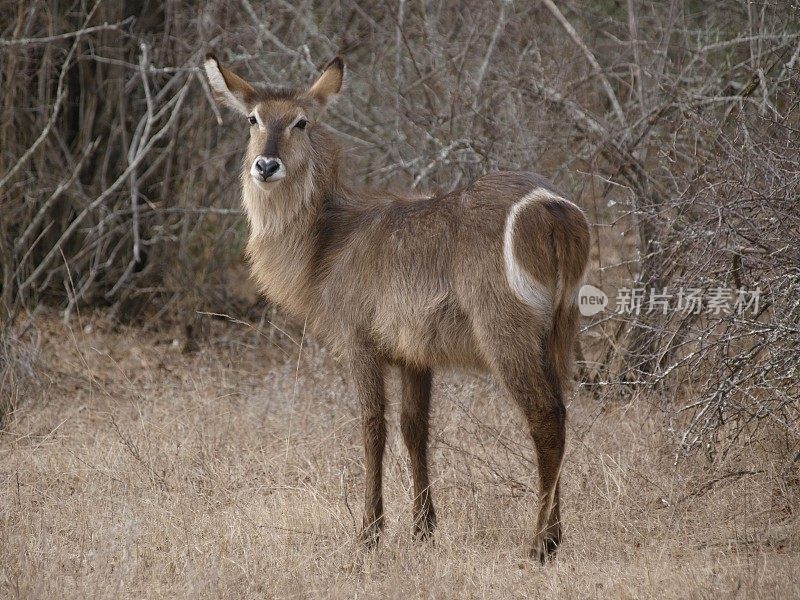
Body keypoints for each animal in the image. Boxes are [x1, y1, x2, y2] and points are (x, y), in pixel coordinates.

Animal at [205, 52, 592, 564]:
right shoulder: (414, 354)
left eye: (301, 121)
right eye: (253, 119)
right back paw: (555, 534)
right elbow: (415, 429)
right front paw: (423, 528)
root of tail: (551, 208)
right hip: (561, 333)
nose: (266, 165)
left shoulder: (359, 341)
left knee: (545, 416)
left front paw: (369, 531)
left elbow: (373, 427)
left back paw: (540, 545)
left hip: (506, 333)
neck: (328, 239)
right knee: (562, 412)